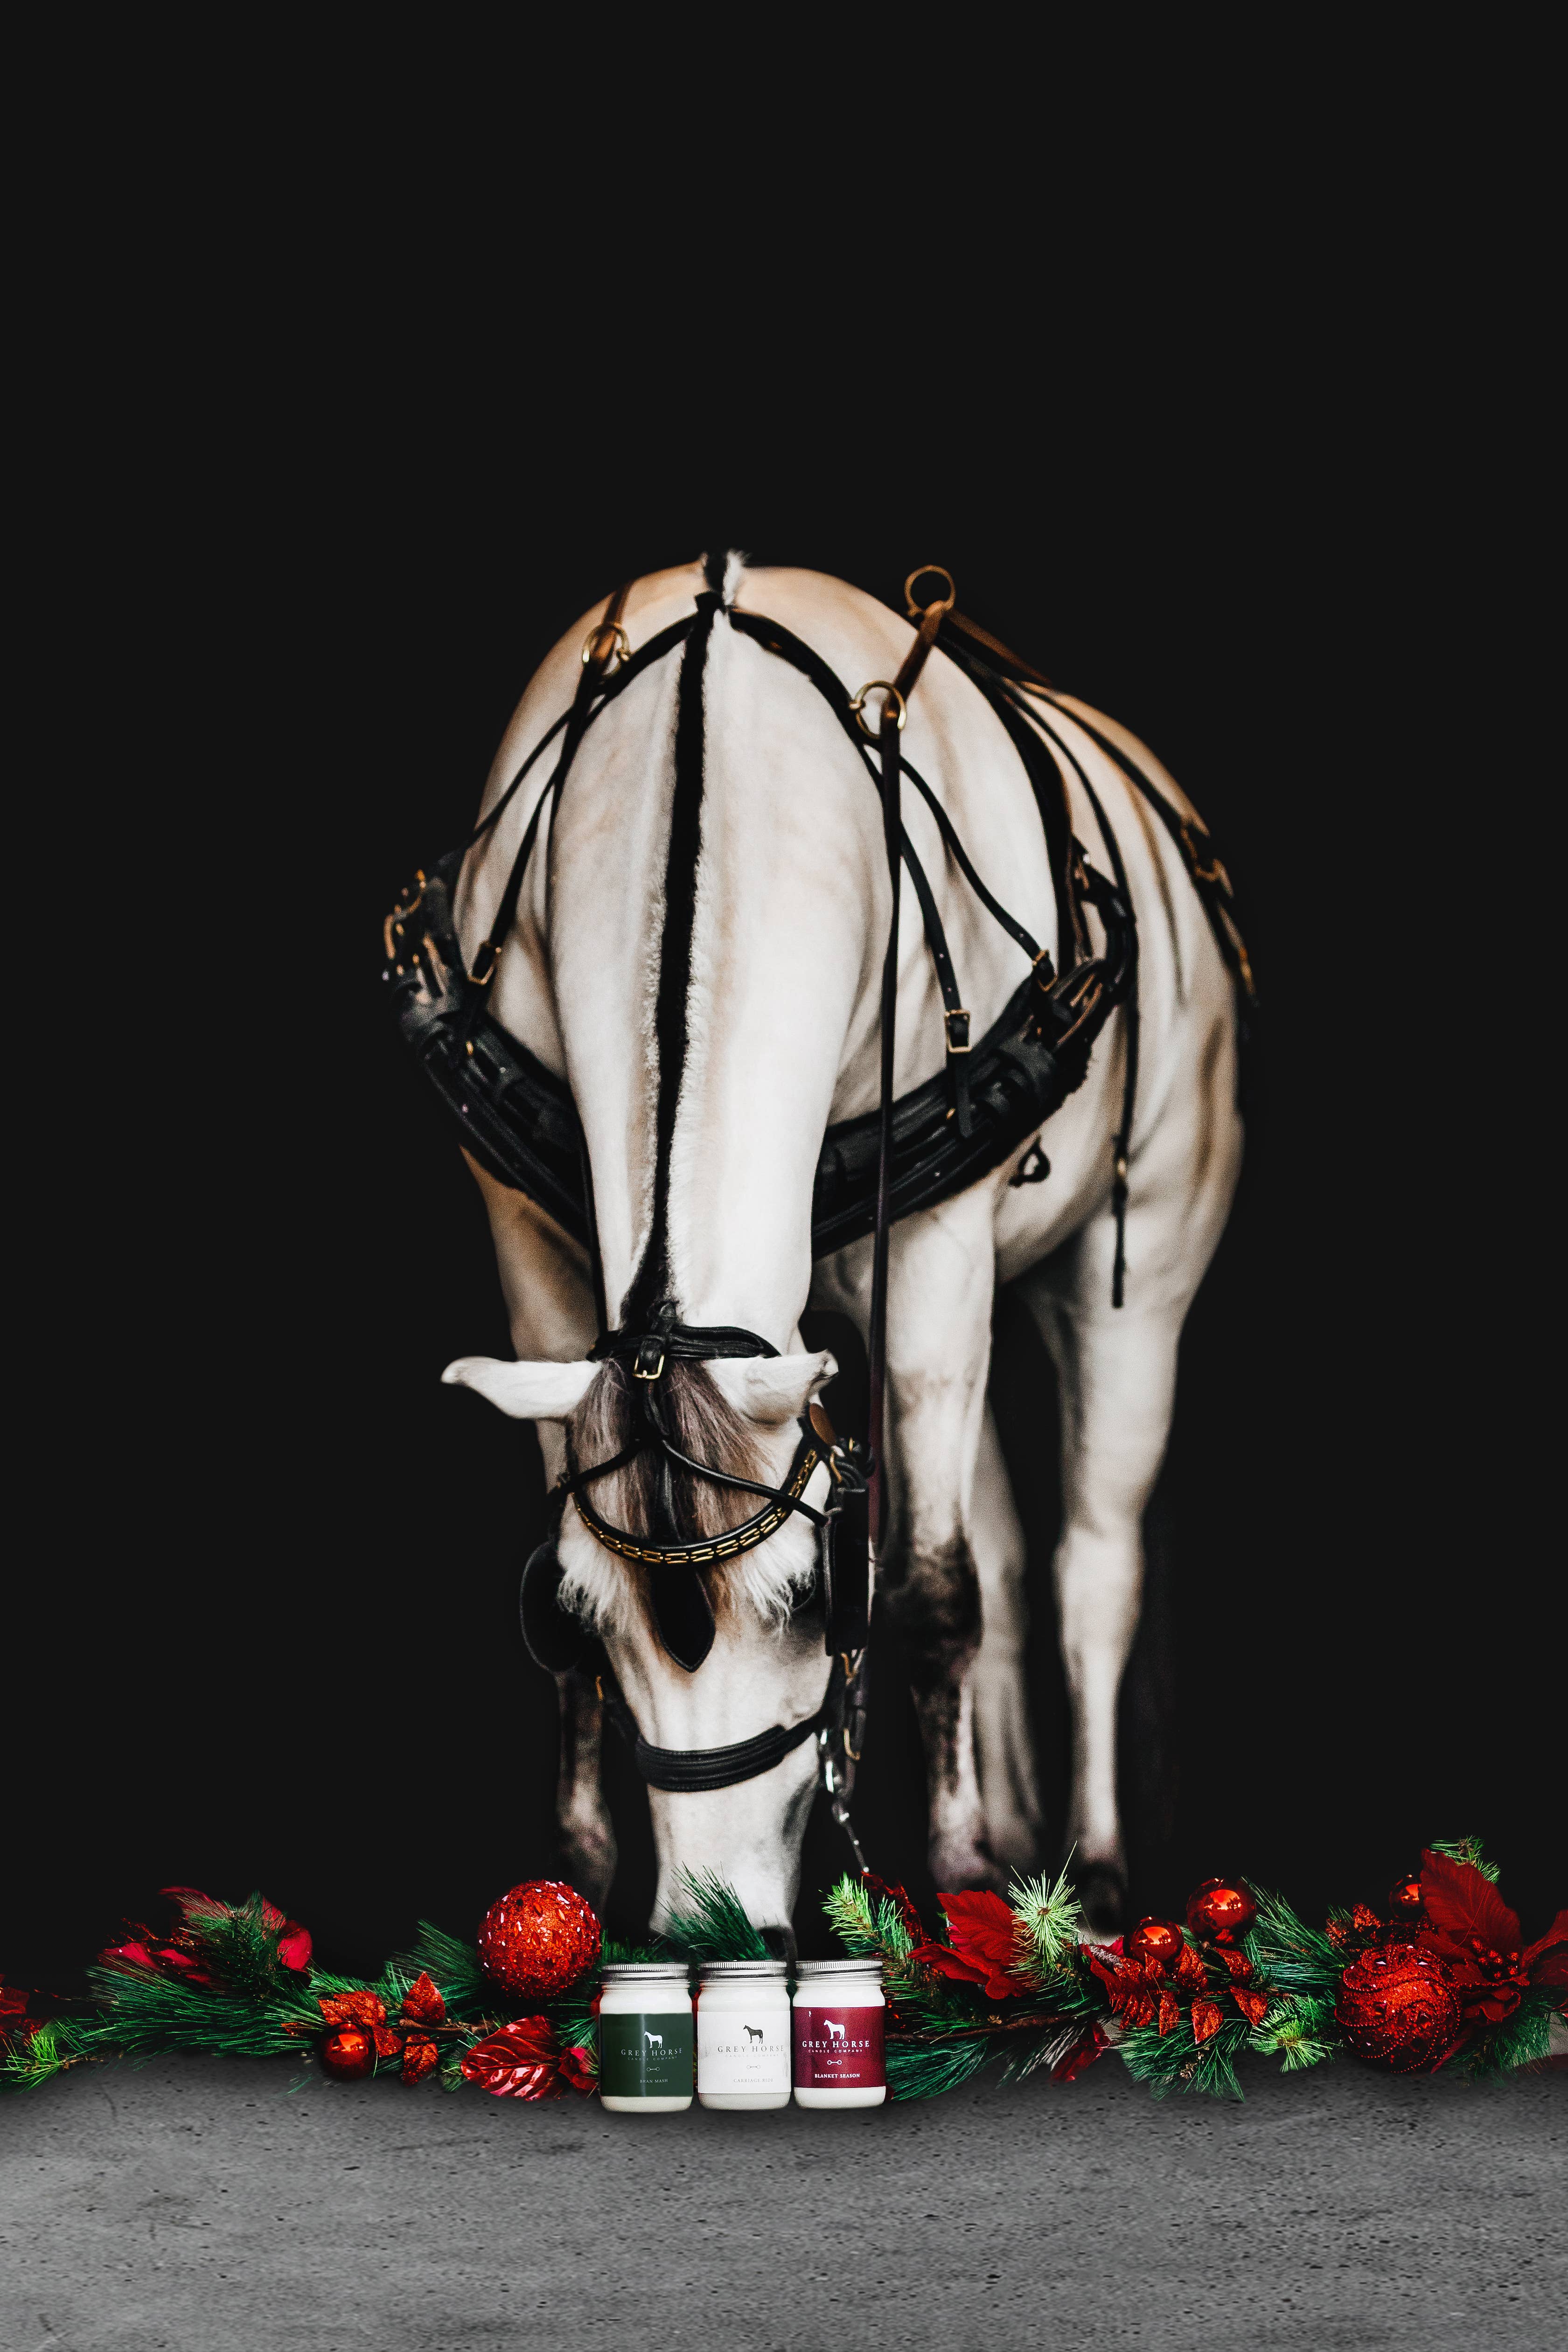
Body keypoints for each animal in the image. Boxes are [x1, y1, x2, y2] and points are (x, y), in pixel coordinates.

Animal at [394, 552, 1244, 1942]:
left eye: (809, 1599)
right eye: (573, 1615)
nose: (714, 1931)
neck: (705, 763)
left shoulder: (942, 1249)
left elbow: (938, 1591)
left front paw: (958, 1880)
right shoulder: (528, 1247)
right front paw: (575, 1867)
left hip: (1135, 1278)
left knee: (1088, 1566)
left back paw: (1095, 1863)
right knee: (1015, 1549)